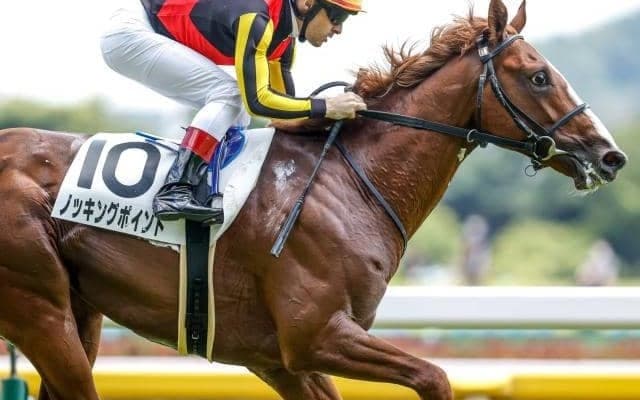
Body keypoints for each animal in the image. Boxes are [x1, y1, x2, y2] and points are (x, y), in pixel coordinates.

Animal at [0, 0, 628, 399]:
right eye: (540, 76)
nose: (611, 155)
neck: (351, 181)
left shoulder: (276, 356)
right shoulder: (316, 335)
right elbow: (435, 377)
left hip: (82, 315)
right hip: (41, 312)